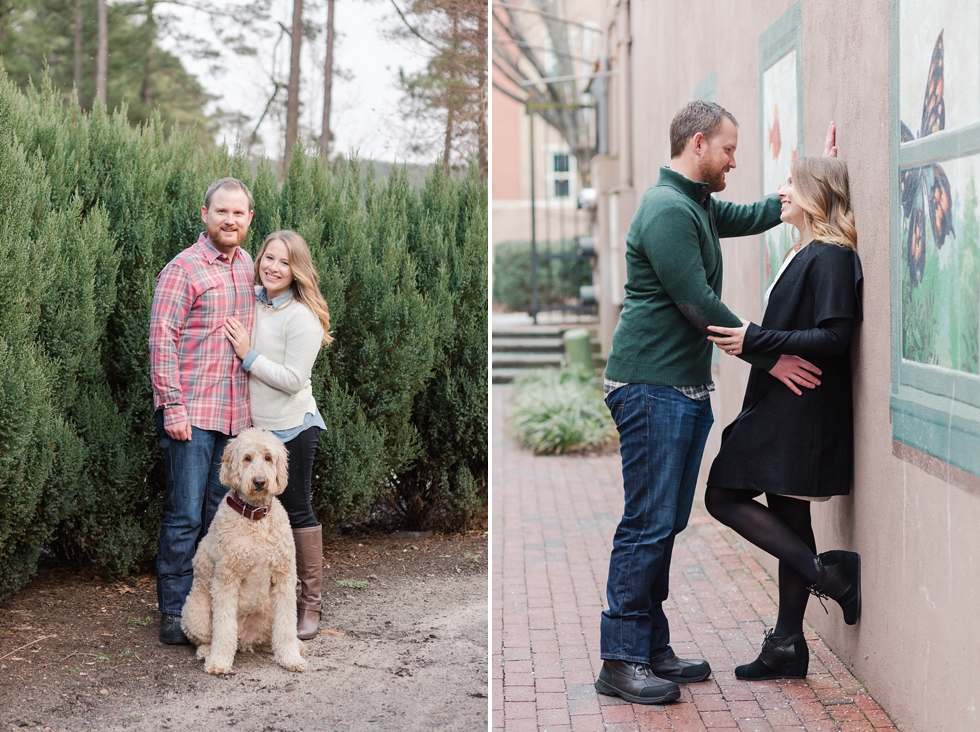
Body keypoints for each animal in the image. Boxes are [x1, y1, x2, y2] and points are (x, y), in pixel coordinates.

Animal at [180, 428, 308, 676]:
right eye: (247, 458)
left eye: (268, 458)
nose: (259, 481)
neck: (255, 517)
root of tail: (246, 640)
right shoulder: (226, 580)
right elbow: (223, 626)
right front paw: (219, 662)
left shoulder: (284, 578)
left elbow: (287, 625)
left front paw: (290, 658)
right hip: (195, 610)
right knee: (208, 637)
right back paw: (206, 652)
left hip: (269, 607)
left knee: (273, 635)